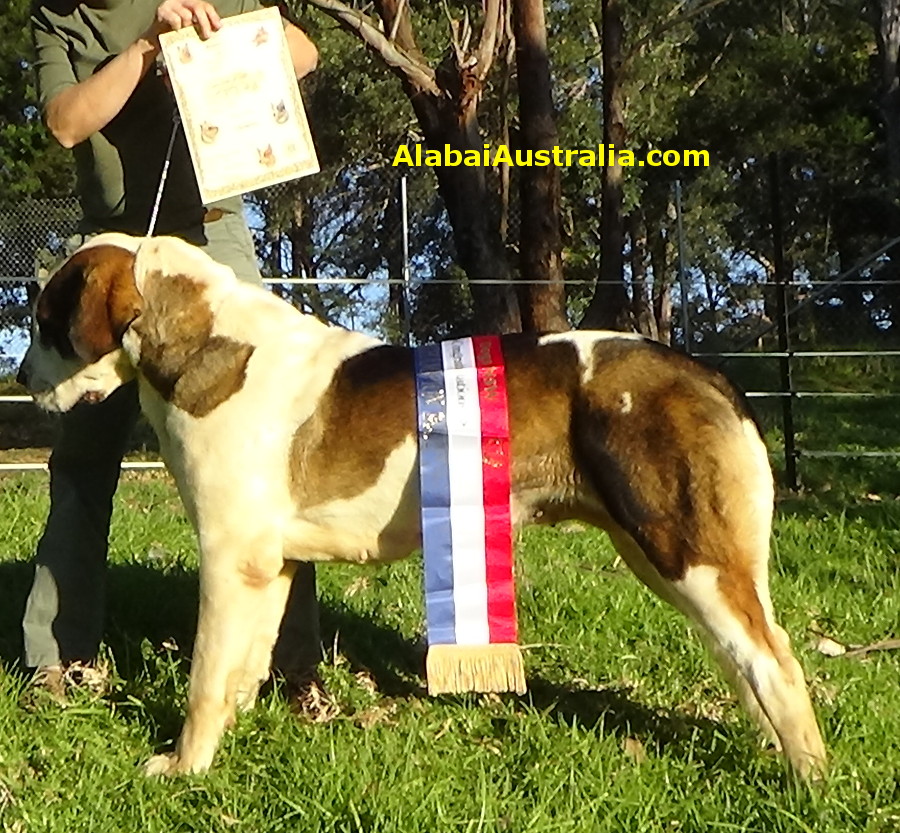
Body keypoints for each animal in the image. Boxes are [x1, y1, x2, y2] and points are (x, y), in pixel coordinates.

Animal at [15, 236, 828, 780]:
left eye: (48, 320)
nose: (20, 378)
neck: (206, 342)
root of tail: (703, 372)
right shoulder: (268, 568)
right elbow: (241, 669)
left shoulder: (226, 561)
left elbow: (205, 679)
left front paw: (184, 766)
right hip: (668, 555)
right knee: (743, 653)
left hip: (683, 551)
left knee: (773, 660)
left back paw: (807, 780)